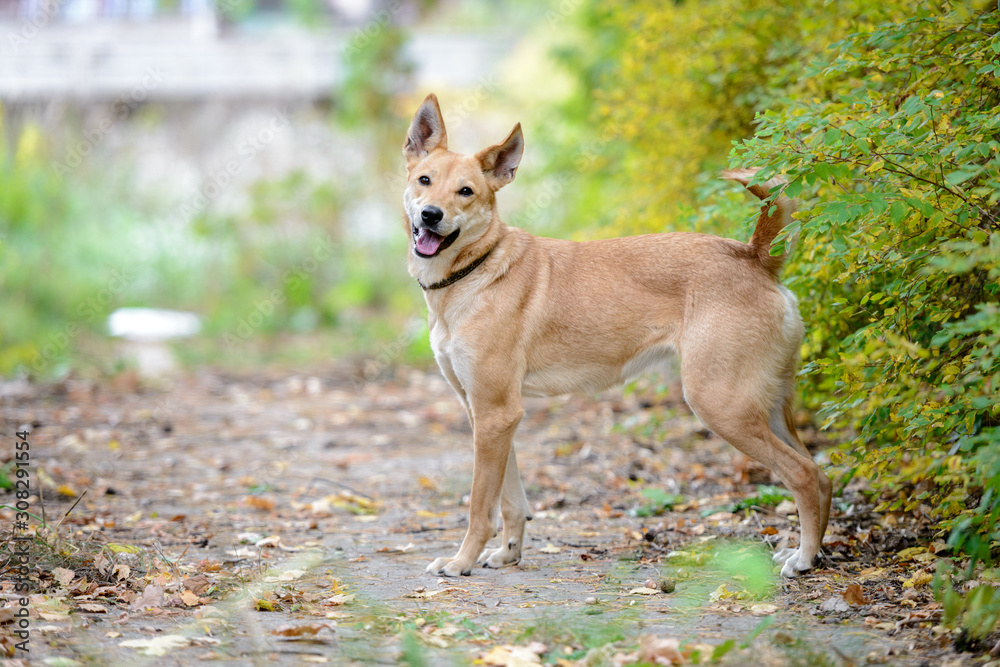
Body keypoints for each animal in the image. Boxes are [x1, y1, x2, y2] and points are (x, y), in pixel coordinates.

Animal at [402, 94, 832, 580]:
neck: (476, 269)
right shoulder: (487, 415)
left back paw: (804, 558)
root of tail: (754, 256)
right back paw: (811, 551)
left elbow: (480, 505)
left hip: (723, 405)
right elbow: (510, 501)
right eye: (424, 180)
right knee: (821, 475)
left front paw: (462, 562)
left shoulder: (495, 413)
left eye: (466, 192)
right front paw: (508, 553)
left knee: (801, 473)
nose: (430, 215)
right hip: (767, 405)